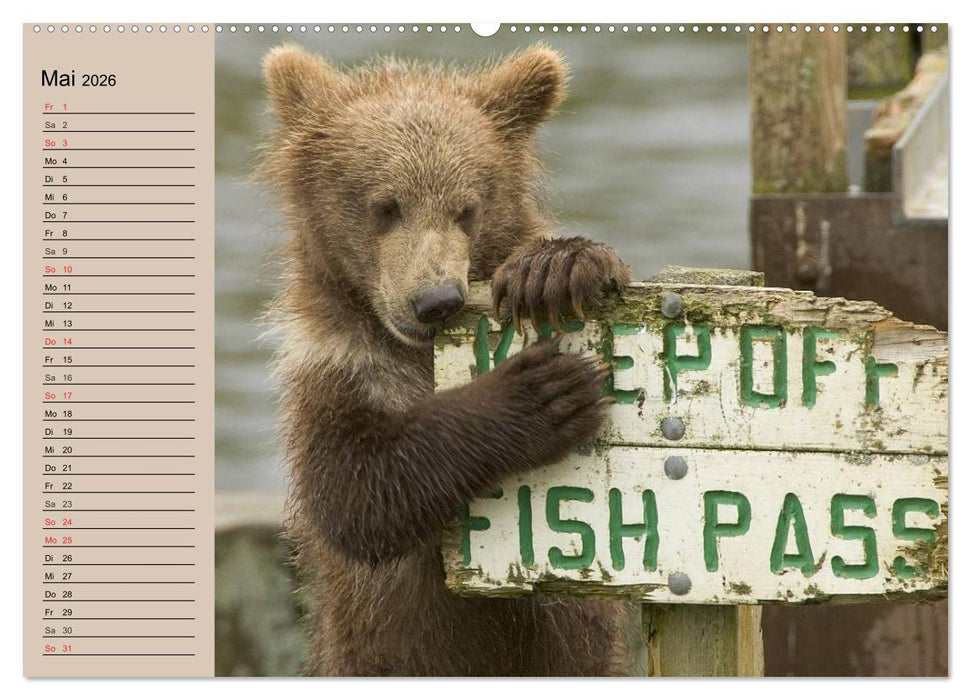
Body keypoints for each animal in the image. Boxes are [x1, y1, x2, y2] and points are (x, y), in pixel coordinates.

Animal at [258, 43, 641, 676]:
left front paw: (554, 269)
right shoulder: (333, 366)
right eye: (386, 206)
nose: (437, 300)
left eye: (467, 209)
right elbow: (357, 492)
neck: (412, 353)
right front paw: (543, 392)